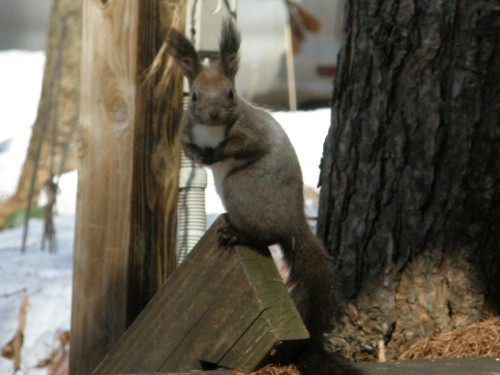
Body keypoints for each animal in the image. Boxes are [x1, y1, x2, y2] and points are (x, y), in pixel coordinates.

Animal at [166, 19, 362, 375]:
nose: (213, 114)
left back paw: (237, 233)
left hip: (240, 188)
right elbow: (188, 149)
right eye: (195, 95)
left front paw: (217, 153)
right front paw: (202, 155)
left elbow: (246, 146)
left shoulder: (252, 131)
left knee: (266, 235)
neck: (212, 132)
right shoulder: (187, 131)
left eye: (230, 93)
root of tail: (295, 222)